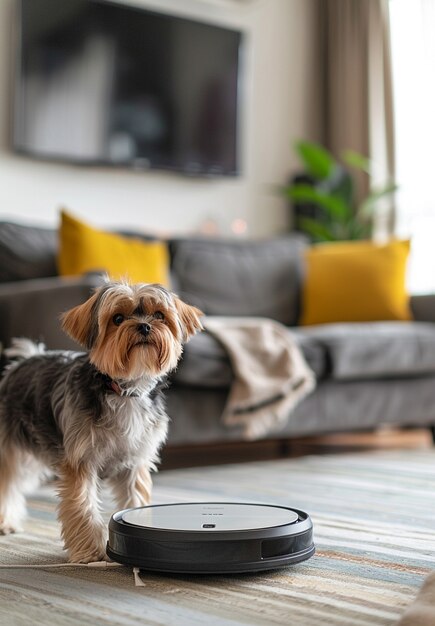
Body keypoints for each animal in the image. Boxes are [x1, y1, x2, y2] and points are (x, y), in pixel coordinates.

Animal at [0, 282, 204, 560]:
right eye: (118, 319)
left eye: (159, 315)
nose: (144, 326)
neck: (125, 392)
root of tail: (22, 361)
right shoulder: (81, 460)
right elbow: (83, 505)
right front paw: (91, 553)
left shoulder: (135, 462)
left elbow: (135, 499)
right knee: (8, 479)